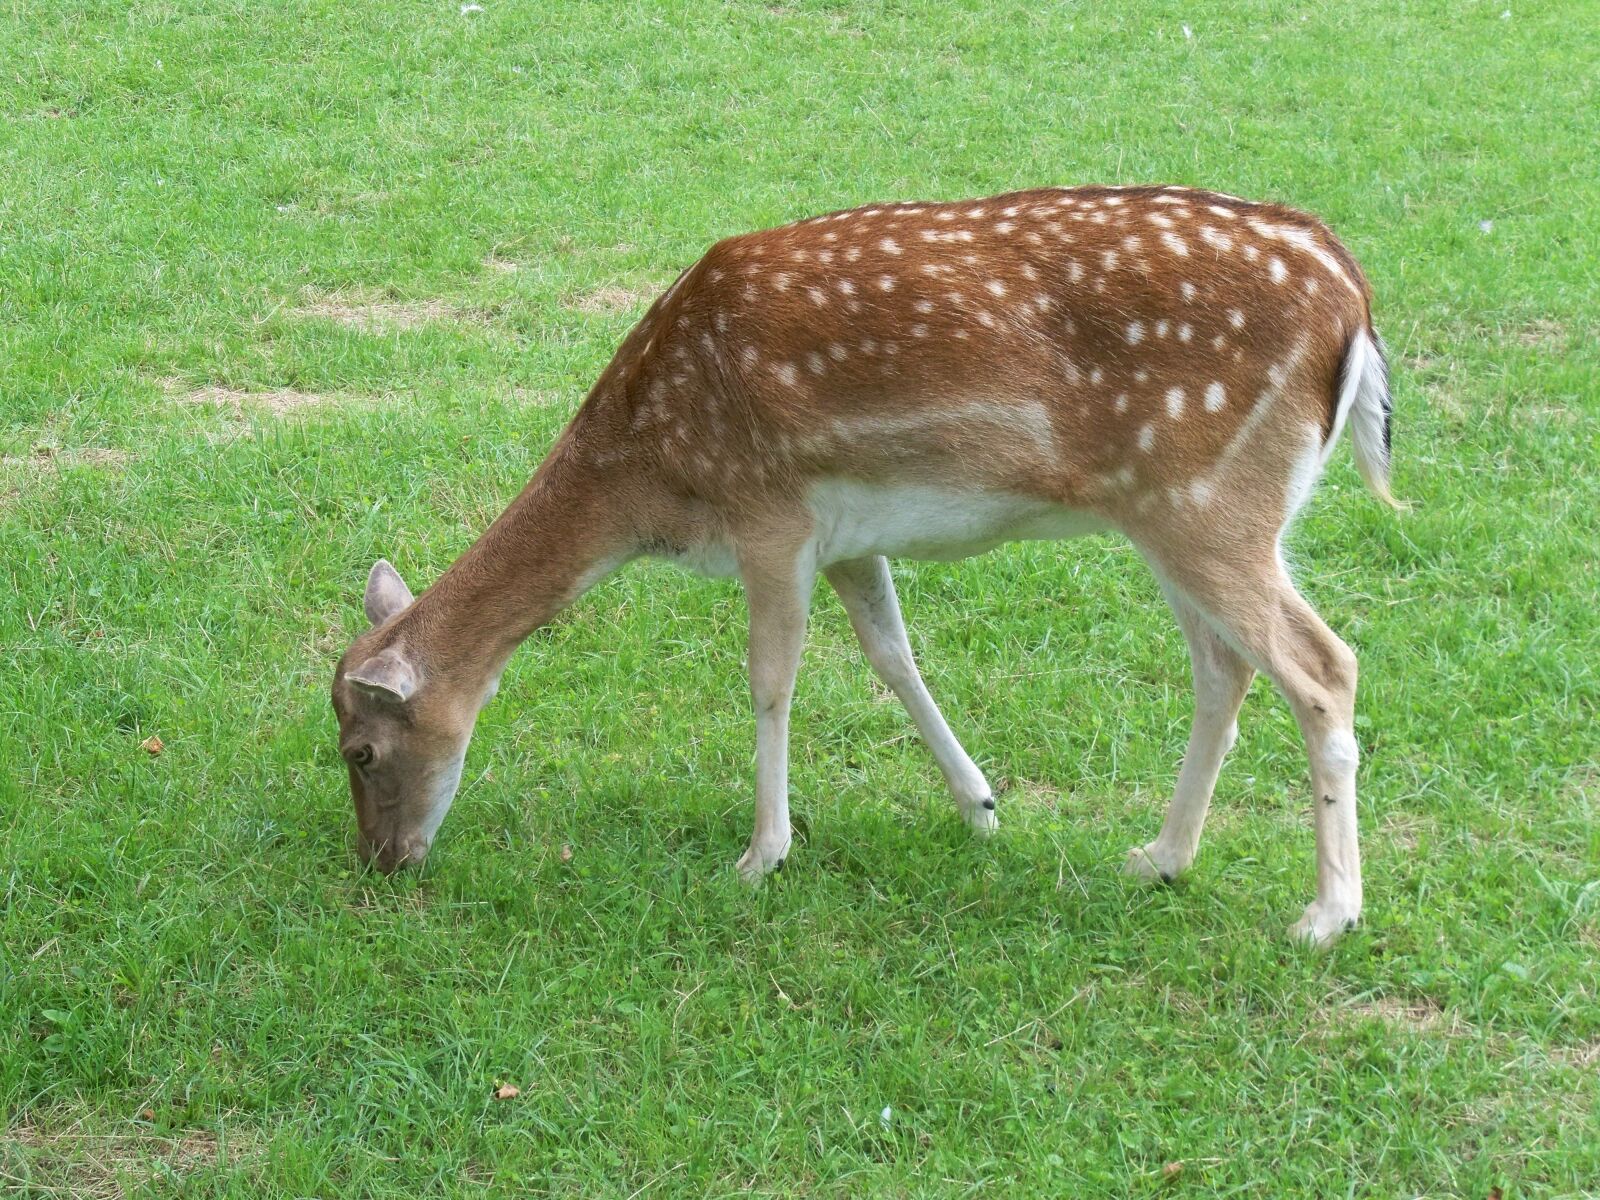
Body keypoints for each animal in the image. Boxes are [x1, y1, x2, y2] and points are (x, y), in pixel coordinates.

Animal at [331, 180, 1395, 947]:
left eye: (361, 751)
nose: (382, 861)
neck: (655, 477)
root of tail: (1354, 297)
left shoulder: (771, 516)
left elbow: (770, 680)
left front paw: (762, 856)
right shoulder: (850, 537)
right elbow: (892, 655)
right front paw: (980, 805)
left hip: (1211, 504)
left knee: (1324, 665)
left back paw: (1325, 915)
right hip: (1181, 516)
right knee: (1225, 670)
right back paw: (1161, 857)